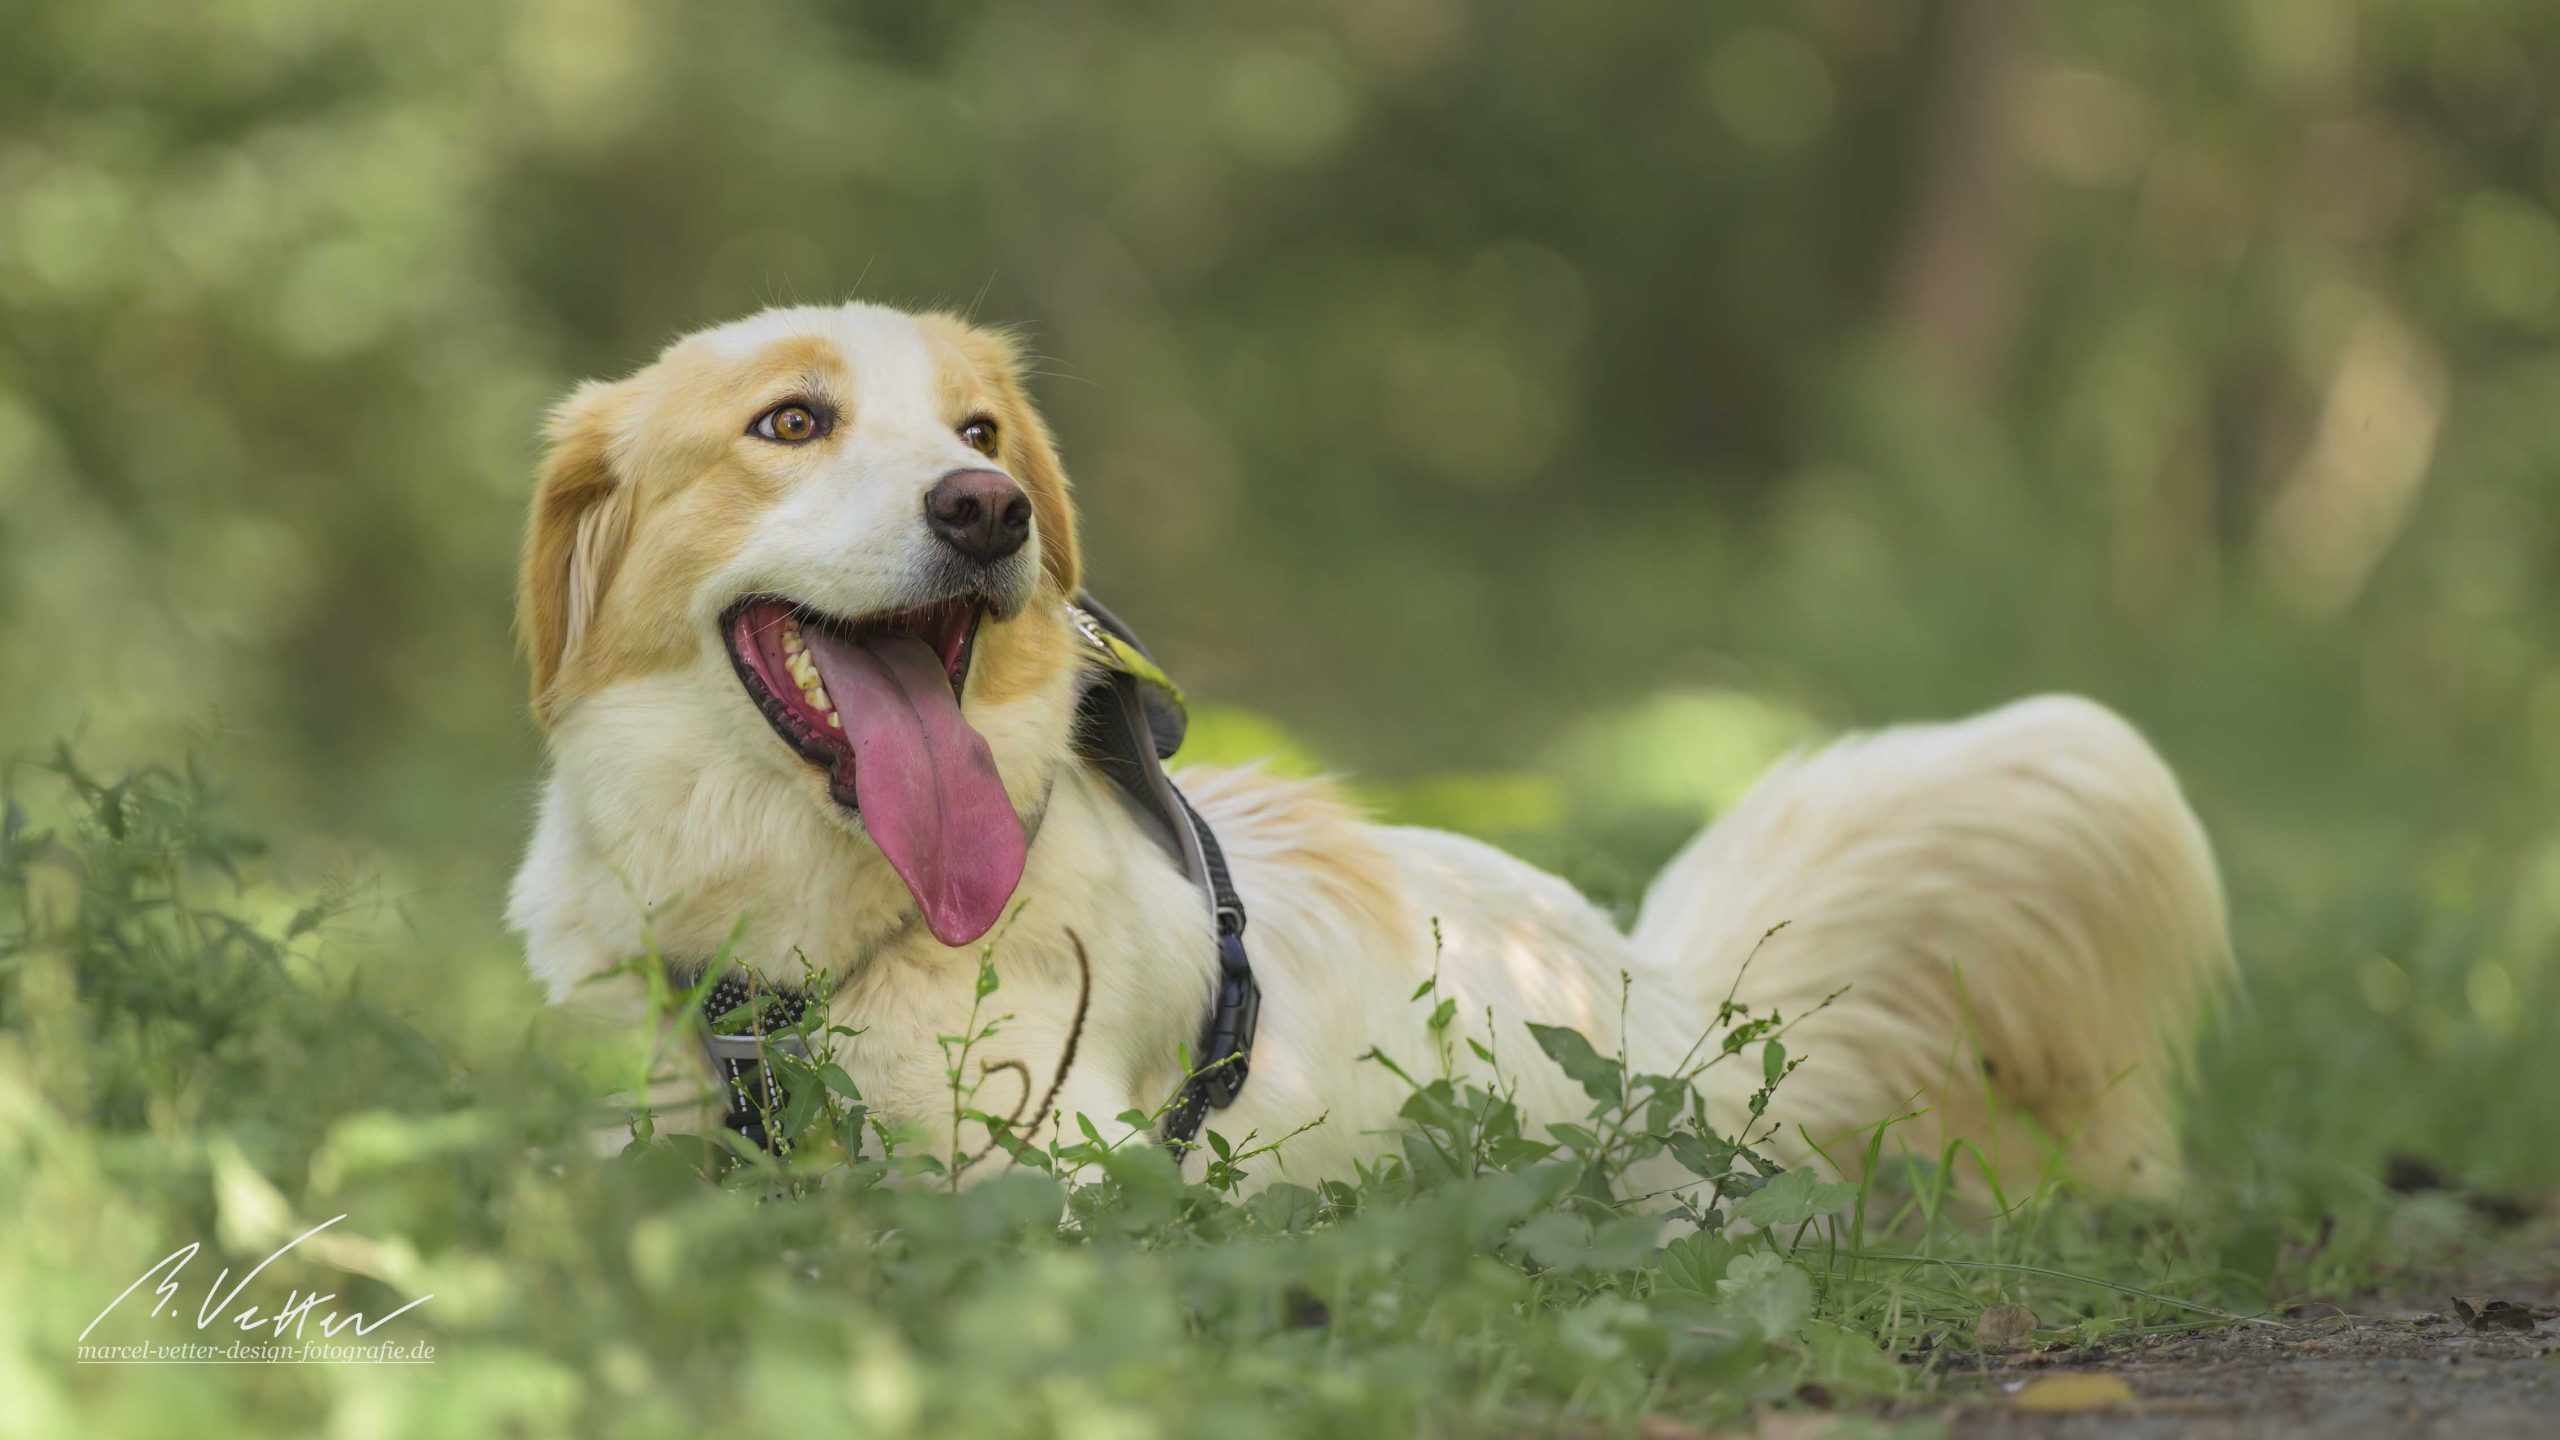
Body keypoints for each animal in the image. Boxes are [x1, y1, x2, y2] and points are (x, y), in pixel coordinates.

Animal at [509, 297, 2232, 1194]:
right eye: (790, 423)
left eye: (979, 435)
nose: (985, 510)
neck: (793, 967)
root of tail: (1677, 1006)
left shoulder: (1057, 1181)